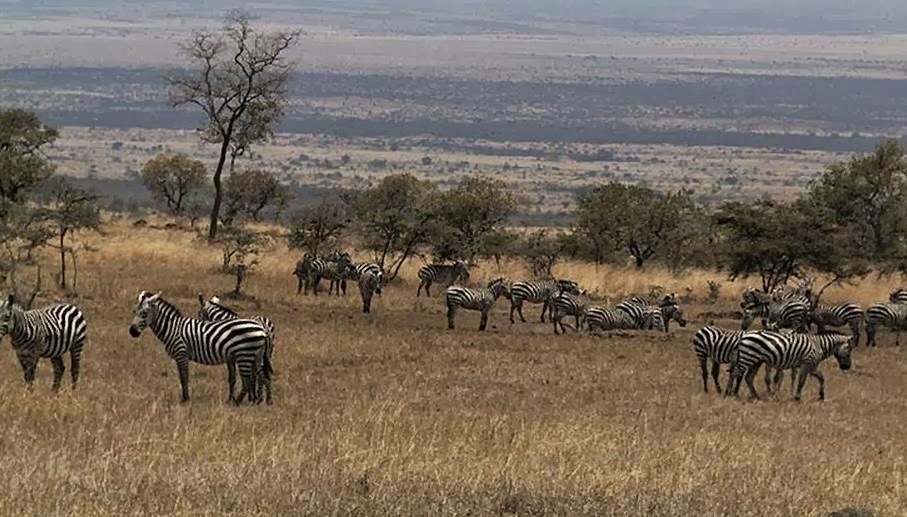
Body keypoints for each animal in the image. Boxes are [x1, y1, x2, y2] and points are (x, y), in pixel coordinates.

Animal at [129, 291, 269, 405]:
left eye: (144, 313)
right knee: (261, 376)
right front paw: (185, 398)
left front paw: (185, 400)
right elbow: (182, 378)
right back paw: (257, 401)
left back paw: (236, 403)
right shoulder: (180, 357)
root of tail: (261, 328)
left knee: (246, 382)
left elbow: (184, 378)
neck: (172, 328)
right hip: (256, 356)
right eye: (134, 311)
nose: (132, 332)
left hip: (244, 355)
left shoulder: (182, 354)